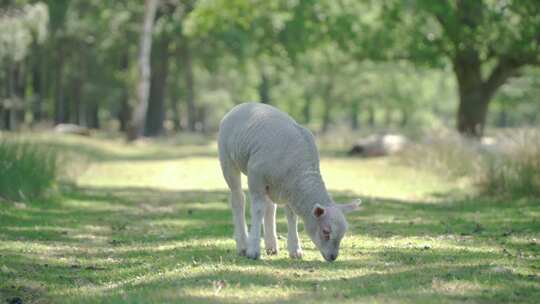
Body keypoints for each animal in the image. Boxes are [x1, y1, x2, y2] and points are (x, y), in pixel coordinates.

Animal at [217, 102, 360, 262]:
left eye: (343, 233)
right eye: (326, 231)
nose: (333, 257)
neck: (300, 171)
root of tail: (243, 105)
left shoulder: (290, 189)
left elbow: (292, 216)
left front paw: (295, 250)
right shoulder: (256, 177)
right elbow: (258, 209)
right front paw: (253, 250)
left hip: (273, 184)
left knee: (270, 207)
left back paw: (271, 246)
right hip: (227, 159)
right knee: (238, 198)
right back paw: (243, 245)